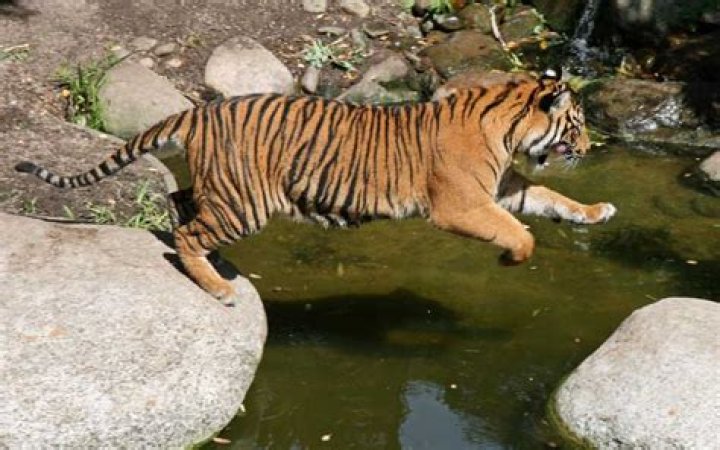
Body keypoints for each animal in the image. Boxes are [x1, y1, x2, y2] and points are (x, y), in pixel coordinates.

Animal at [16, 69, 616, 305]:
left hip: (222, 193)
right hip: (246, 203)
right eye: (578, 124)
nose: (590, 149)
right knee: (188, 233)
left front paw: (597, 210)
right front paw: (511, 260)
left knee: (177, 202)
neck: (508, 125)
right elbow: (520, 231)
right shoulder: (461, 205)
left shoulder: (504, 187)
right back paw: (217, 287)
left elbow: (550, 202)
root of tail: (199, 111)